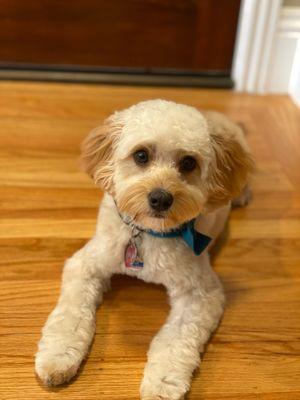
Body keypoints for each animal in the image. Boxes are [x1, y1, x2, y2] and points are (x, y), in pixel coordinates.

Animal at [36, 100, 254, 400]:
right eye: (141, 155)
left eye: (188, 163)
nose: (160, 197)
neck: (149, 234)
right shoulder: (86, 265)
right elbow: (70, 316)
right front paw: (58, 356)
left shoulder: (200, 293)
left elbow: (175, 342)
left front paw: (162, 384)